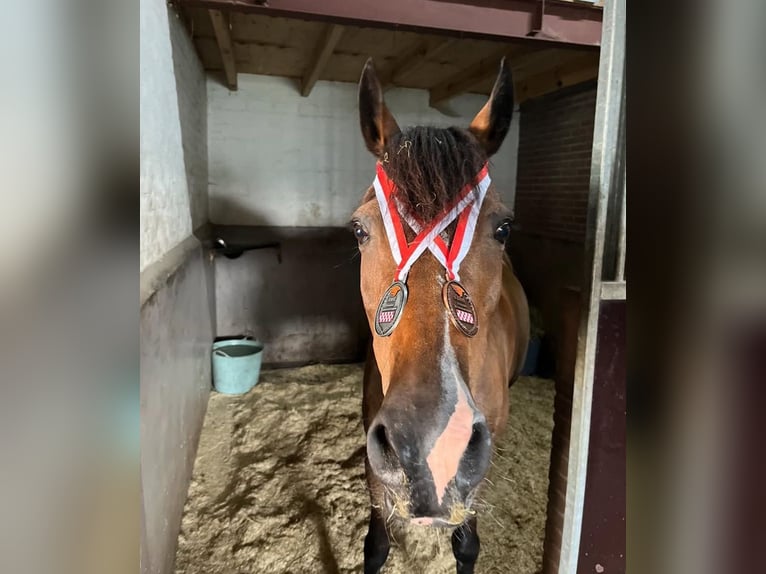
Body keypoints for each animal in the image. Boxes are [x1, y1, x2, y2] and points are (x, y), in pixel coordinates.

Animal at [350, 58, 530, 574]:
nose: (434, 446)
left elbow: (466, 544)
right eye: (359, 230)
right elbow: (377, 544)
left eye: (503, 228)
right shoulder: (374, 452)